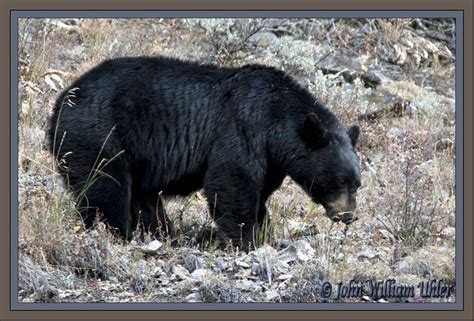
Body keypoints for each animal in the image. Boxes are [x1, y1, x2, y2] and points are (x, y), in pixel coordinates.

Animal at [48, 56, 362, 248]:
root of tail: (61, 101)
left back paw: (159, 231)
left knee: (141, 197)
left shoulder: (272, 160)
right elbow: (232, 181)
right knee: (105, 186)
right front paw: (245, 238)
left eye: (357, 184)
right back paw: (118, 232)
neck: (276, 119)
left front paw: (263, 229)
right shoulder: (242, 127)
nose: (348, 216)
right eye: (340, 180)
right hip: (100, 134)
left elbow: (259, 190)